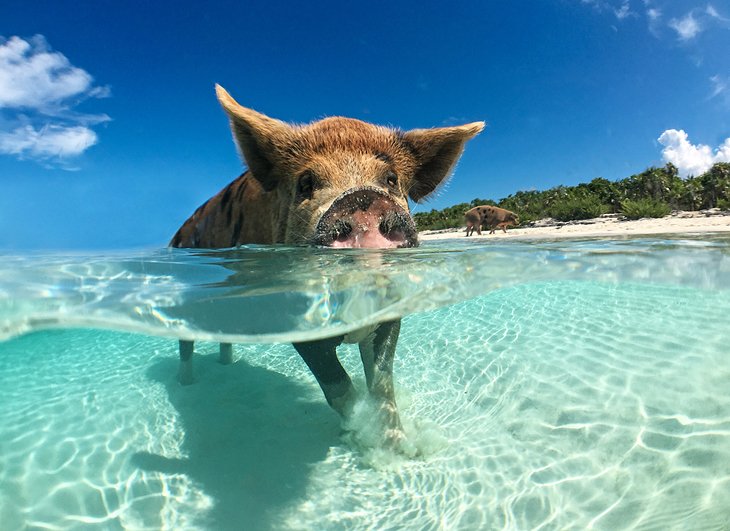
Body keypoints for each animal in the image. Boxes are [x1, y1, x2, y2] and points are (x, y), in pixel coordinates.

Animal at [168, 85, 480, 446]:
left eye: (390, 179)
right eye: (306, 182)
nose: (362, 199)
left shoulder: (390, 312)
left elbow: (382, 386)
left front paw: (401, 448)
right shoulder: (295, 317)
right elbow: (338, 386)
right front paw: (361, 439)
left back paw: (225, 366)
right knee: (185, 343)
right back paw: (186, 384)